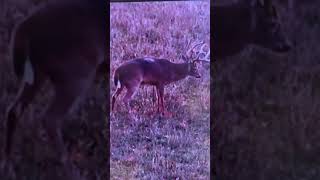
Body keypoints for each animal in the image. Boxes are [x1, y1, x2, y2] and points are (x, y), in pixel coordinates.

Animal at [2, 0, 106, 179]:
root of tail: (24, 29)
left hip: (37, 72)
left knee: (13, 110)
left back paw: (8, 166)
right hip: (75, 72)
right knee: (50, 118)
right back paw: (71, 171)